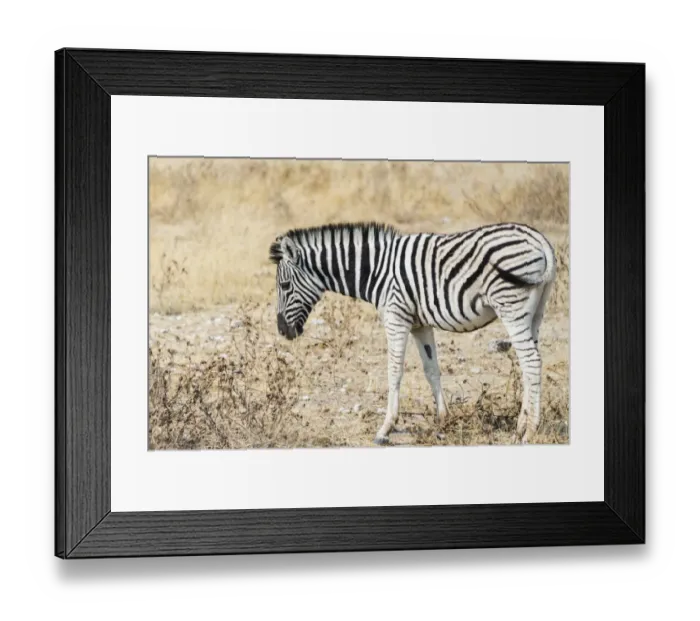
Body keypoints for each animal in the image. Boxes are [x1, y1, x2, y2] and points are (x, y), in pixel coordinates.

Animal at [269, 221, 557, 446]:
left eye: (285, 285)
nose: (282, 331)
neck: (376, 270)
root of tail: (539, 239)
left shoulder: (396, 317)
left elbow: (394, 371)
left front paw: (385, 429)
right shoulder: (420, 324)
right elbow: (431, 369)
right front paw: (442, 419)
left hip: (511, 305)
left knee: (531, 362)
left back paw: (530, 432)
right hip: (535, 312)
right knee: (529, 364)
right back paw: (521, 426)